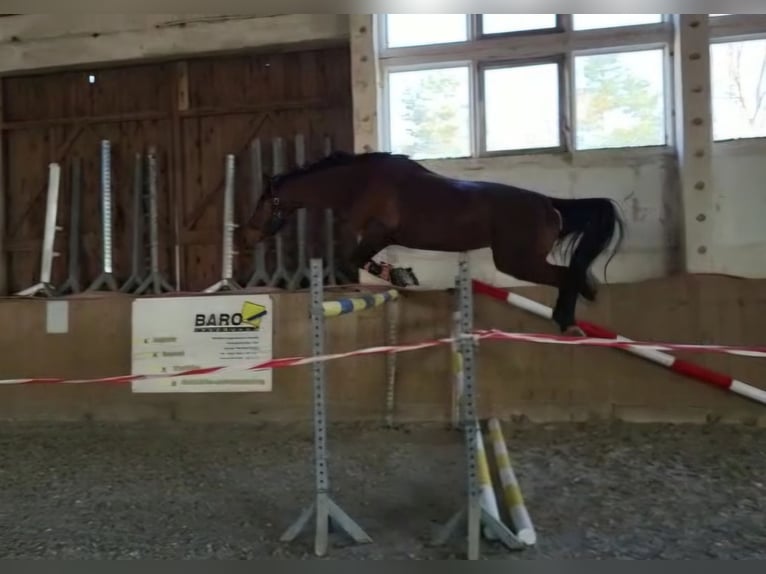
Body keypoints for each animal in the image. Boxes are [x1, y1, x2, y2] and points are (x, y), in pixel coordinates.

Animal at [249, 151, 628, 338]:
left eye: (263, 200)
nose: (251, 233)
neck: (358, 183)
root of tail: (549, 204)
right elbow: (359, 258)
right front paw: (400, 274)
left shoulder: (379, 233)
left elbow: (355, 257)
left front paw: (400, 275)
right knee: (573, 274)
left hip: (517, 261)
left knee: (567, 276)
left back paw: (568, 323)